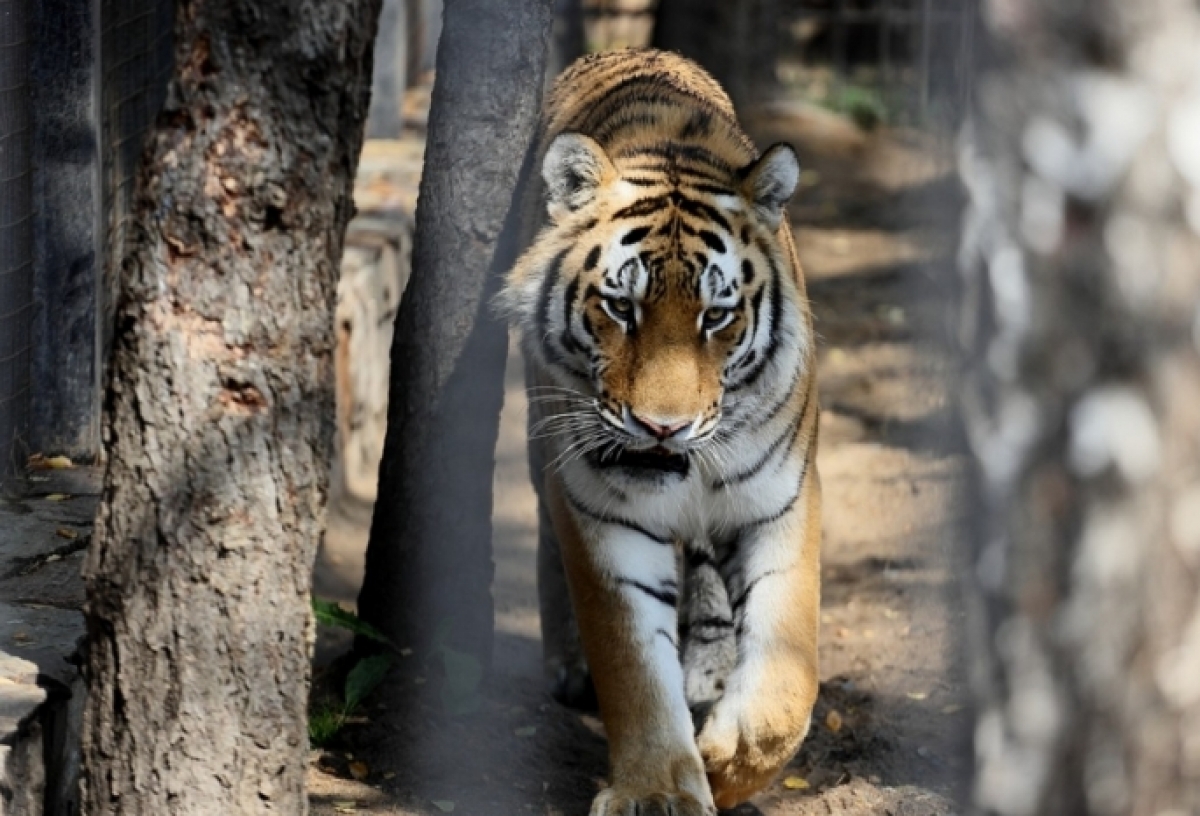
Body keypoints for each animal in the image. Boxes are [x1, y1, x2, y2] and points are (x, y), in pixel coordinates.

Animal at [499, 47, 825, 811]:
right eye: (621, 307)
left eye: (716, 316)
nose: (661, 427)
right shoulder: (602, 513)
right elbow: (631, 663)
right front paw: (657, 791)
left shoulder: (783, 500)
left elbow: (788, 679)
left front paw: (729, 761)